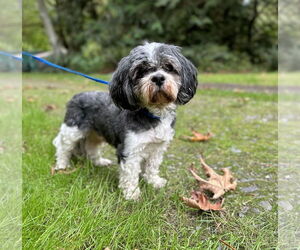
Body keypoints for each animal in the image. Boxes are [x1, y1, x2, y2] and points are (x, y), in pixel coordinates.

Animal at [52, 42, 198, 200]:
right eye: (141, 71)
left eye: (168, 67)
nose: (158, 78)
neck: (153, 114)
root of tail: (77, 96)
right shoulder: (130, 149)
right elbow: (130, 173)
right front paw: (131, 193)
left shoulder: (157, 148)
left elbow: (152, 166)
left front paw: (154, 181)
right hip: (72, 130)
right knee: (63, 147)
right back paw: (62, 165)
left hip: (95, 133)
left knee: (91, 147)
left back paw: (99, 162)